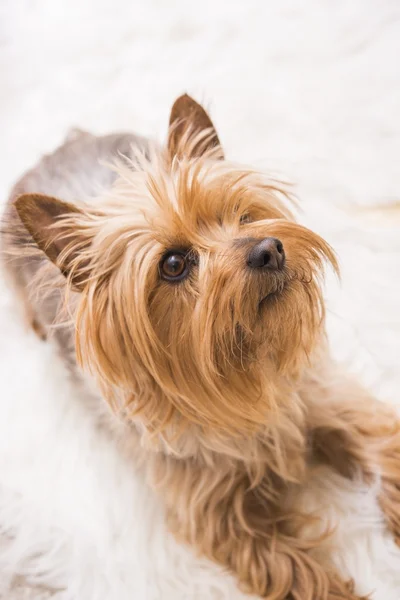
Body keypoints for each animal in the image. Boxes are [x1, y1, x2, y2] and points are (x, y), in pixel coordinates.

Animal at [1, 96, 398, 596]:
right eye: (173, 264)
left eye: (243, 215)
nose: (270, 249)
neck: (244, 366)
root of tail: (61, 147)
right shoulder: (219, 516)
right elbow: (292, 569)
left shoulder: (325, 399)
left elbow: (382, 452)